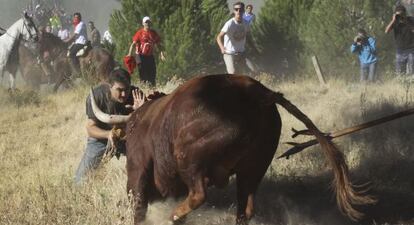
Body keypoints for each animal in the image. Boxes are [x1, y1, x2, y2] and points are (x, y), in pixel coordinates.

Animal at [90, 74, 376, 223]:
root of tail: (259, 93)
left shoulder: (136, 178)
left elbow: (138, 207)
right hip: (254, 168)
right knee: (245, 208)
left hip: (189, 156)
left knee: (198, 194)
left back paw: (174, 215)